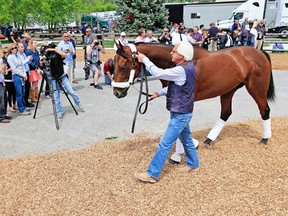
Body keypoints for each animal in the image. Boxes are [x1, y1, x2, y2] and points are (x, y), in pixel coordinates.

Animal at [111, 42, 276, 145]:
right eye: (113, 65)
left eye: (123, 66)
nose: (117, 92)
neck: (180, 62)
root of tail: (259, 52)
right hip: (228, 90)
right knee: (226, 113)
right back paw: (209, 139)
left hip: (256, 89)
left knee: (265, 110)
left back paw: (265, 139)